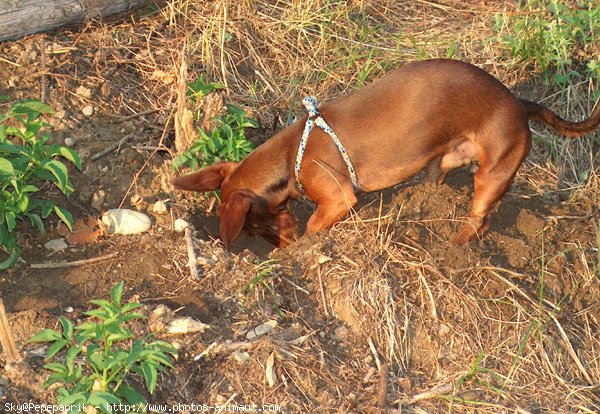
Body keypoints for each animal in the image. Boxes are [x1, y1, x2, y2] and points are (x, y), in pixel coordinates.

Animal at [173, 59, 600, 247]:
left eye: (253, 226)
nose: (281, 250)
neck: (292, 152)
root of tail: (520, 103)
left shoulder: (337, 198)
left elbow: (314, 224)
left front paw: (308, 247)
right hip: (441, 161)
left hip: (491, 175)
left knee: (481, 219)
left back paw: (457, 247)